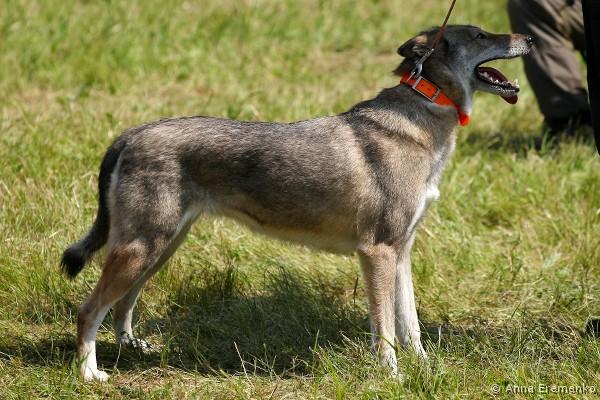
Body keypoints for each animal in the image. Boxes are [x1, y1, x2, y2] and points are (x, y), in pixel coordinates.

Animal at [61, 25, 532, 381]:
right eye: (479, 34)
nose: (526, 37)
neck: (423, 121)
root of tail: (132, 133)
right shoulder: (377, 252)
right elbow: (385, 331)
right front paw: (393, 377)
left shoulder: (401, 252)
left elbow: (411, 326)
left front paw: (426, 369)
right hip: (143, 248)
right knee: (88, 311)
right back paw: (90, 374)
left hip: (159, 248)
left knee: (122, 305)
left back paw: (134, 349)